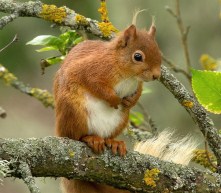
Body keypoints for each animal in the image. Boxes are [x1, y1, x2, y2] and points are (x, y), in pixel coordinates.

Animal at [53, 24, 161, 193]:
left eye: (159, 51)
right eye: (138, 57)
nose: (157, 75)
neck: (128, 75)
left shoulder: (138, 84)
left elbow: (138, 92)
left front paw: (130, 101)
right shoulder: (92, 69)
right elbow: (96, 85)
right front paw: (114, 99)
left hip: (121, 120)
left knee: (107, 137)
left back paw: (114, 142)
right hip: (73, 111)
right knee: (75, 136)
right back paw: (90, 138)